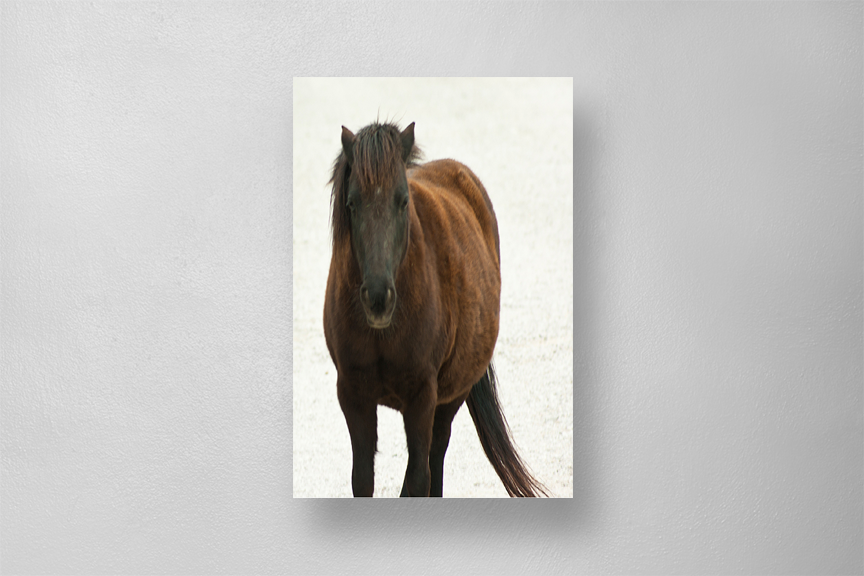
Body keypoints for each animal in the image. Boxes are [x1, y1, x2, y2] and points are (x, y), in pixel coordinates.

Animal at [323, 120, 548, 497]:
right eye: (352, 203)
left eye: (403, 201)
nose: (378, 298)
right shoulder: (353, 395)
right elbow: (363, 479)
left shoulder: (422, 399)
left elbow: (418, 477)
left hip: (450, 398)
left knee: (435, 457)